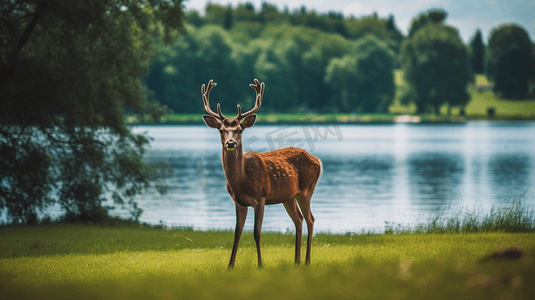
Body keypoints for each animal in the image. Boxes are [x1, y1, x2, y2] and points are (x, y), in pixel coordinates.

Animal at [202, 78, 322, 268]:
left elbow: (256, 232)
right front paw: (230, 265)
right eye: (221, 130)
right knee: (299, 220)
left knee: (310, 219)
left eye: (240, 130)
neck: (242, 180)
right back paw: (296, 260)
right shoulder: (238, 201)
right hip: (289, 196)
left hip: (306, 190)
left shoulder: (260, 198)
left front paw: (260, 264)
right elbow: (237, 232)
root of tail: (318, 160)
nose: (231, 143)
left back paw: (307, 260)